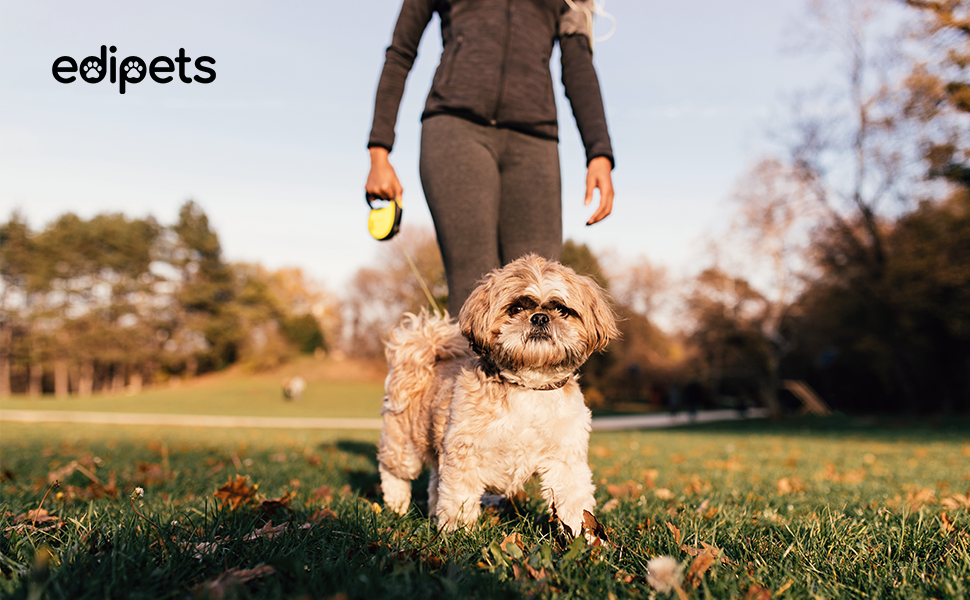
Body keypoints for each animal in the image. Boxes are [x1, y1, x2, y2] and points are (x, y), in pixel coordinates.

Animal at [374, 255, 616, 536]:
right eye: (515, 309)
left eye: (562, 310)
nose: (540, 317)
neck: (528, 387)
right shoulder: (464, 454)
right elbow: (459, 498)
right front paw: (459, 533)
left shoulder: (566, 459)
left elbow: (575, 502)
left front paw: (584, 537)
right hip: (405, 447)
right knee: (394, 471)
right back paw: (396, 505)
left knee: (435, 480)